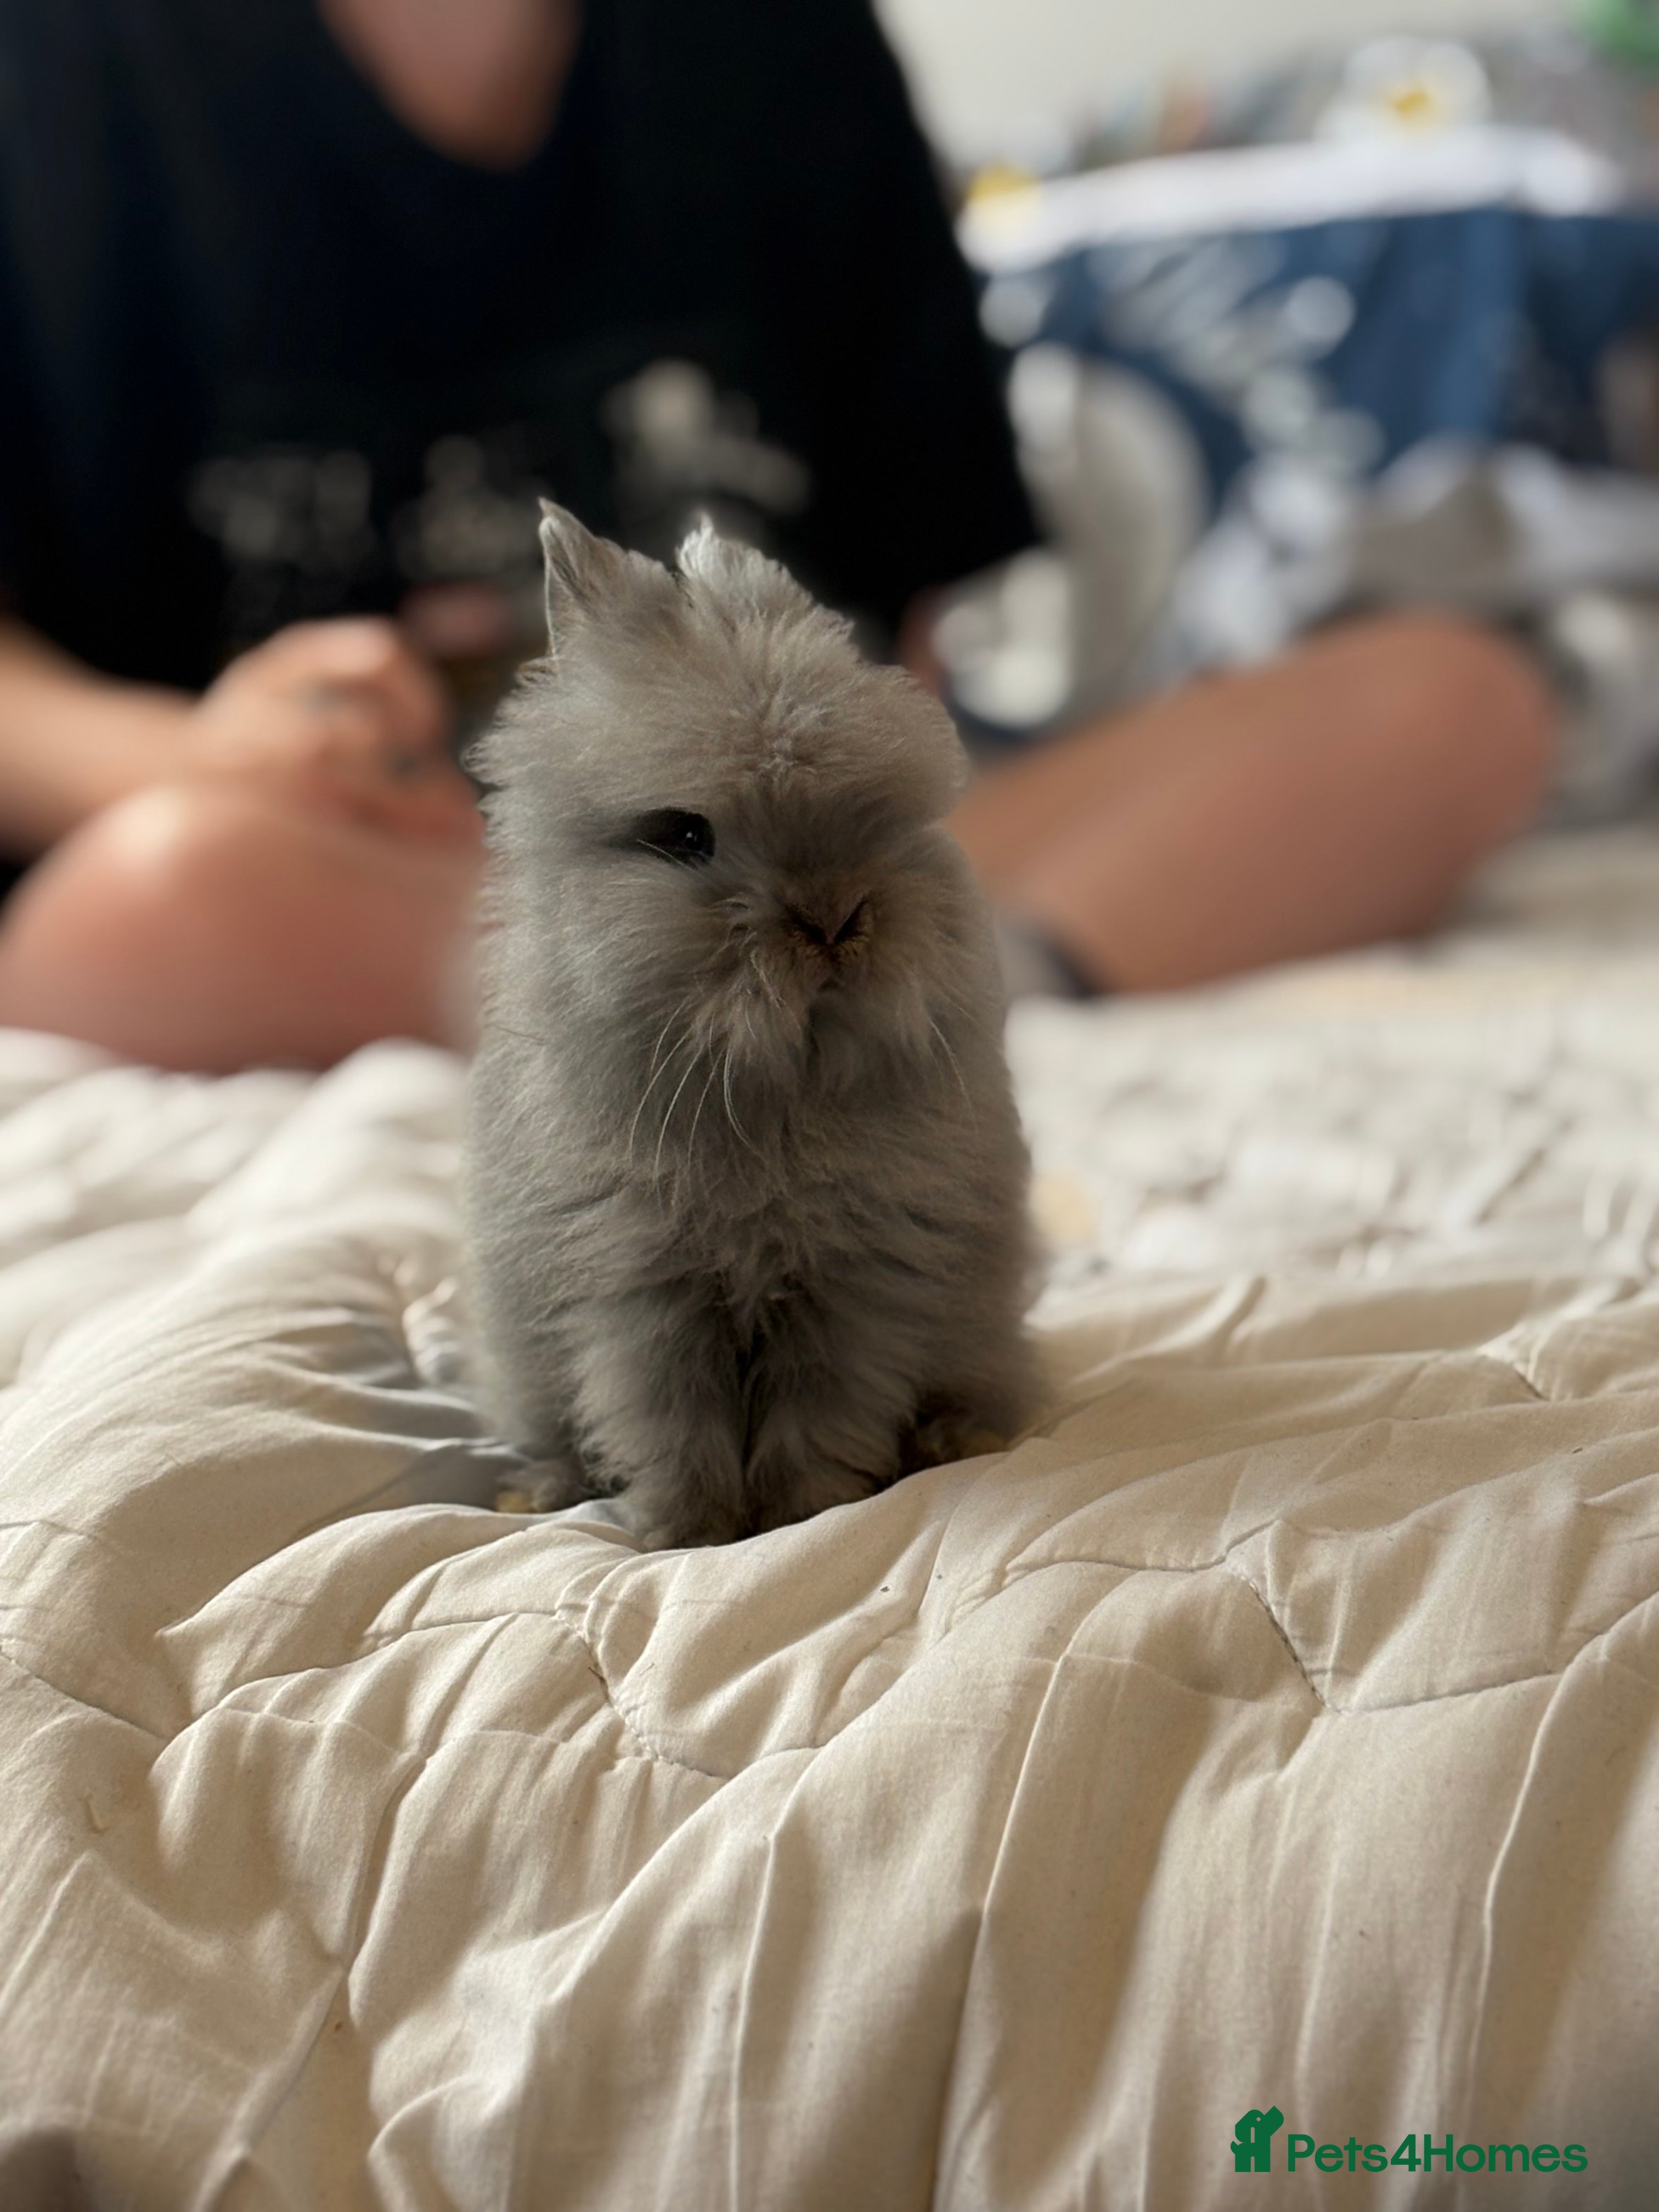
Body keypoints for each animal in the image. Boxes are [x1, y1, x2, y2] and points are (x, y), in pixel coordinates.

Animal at [462, 500, 1036, 1549]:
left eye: (886, 820)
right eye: (683, 836)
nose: (835, 921)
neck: (773, 1089)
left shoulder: (855, 1286)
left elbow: (820, 1411)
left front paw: (799, 1514)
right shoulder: (640, 1296)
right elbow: (670, 1422)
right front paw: (689, 1533)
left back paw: (955, 1441)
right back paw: (539, 1492)